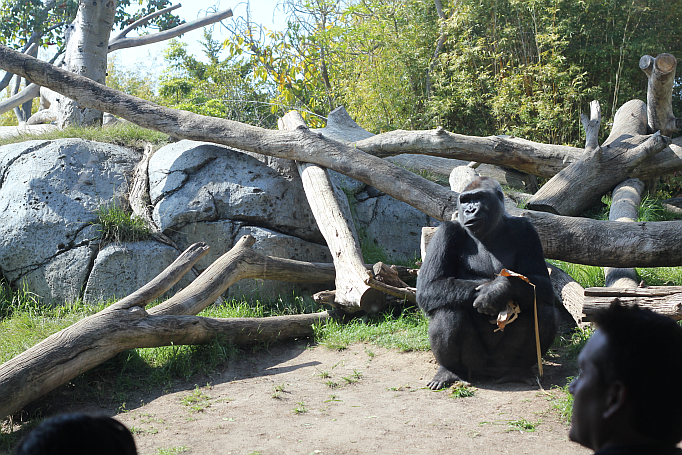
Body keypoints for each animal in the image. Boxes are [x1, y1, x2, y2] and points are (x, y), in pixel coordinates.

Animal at [418, 176, 556, 390]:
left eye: (479, 198)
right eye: (465, 200)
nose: (469, 210)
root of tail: (489, 374)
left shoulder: (527, 229)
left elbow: (541, 283)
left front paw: (497, 290)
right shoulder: (446, 230)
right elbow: (429, 286)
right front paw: (492, 291)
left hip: (502, 362)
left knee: (542, 309)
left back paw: (519, 370)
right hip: (475, 364)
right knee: (447, 309)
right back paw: (449, 371)